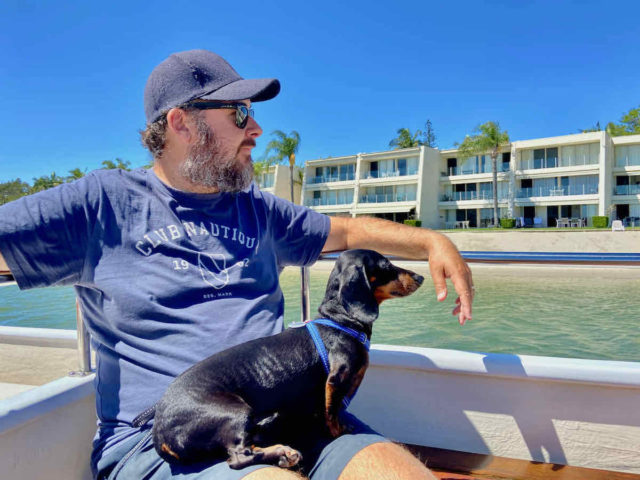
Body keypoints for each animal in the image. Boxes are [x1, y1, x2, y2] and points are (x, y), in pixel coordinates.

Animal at [145, 249, 424, 470]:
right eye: (386, 264)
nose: (420, 277)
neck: (340, 321)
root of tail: (160, 434)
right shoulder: (336, 379)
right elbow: (332, 412)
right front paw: (339, 431)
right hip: (234, 412)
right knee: (238, 457)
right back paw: (282, 452)